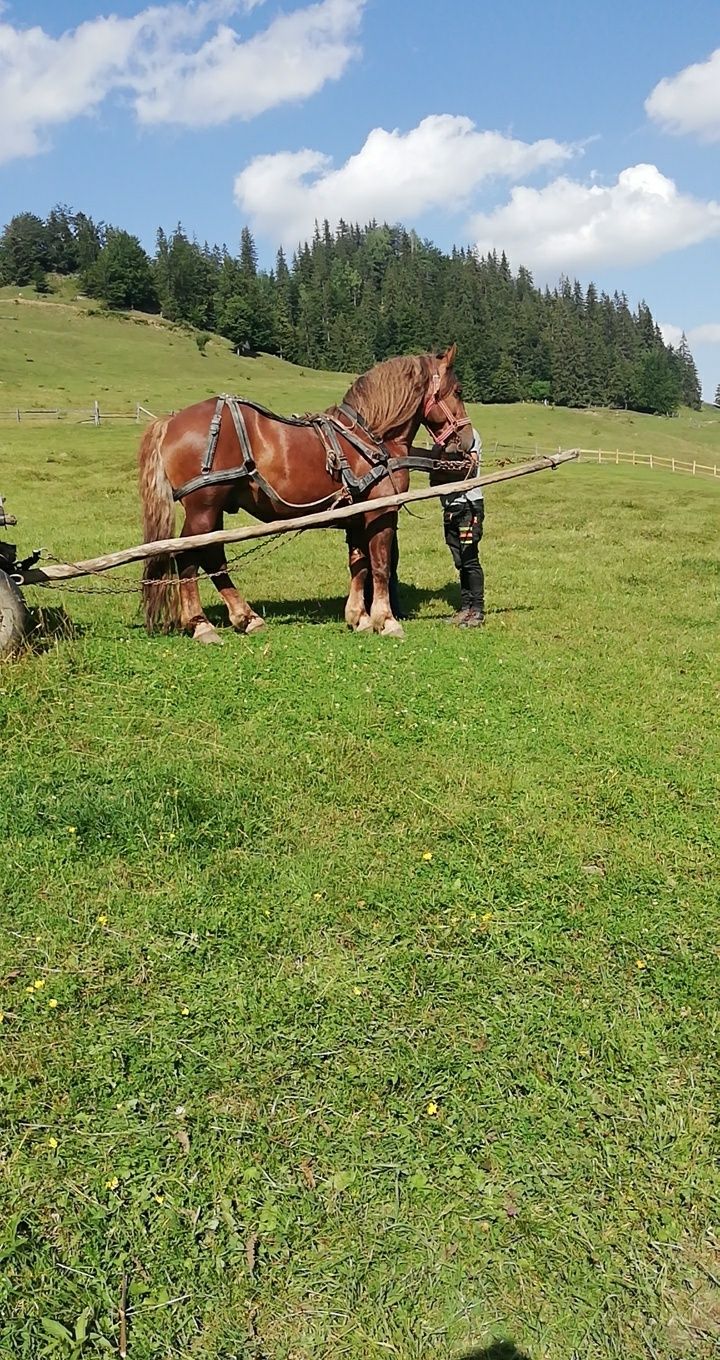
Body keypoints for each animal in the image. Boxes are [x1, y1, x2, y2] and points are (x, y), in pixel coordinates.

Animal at [137, 342, 470, 639]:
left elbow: (359, 565)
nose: (466, 440)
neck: (371, 437)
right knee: (187, 555)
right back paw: (200, 624)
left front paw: (358, 618)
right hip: (204, 507)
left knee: (212, 556)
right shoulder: (381, 511)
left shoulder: (357, 517)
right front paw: (386, 620)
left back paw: (246, 617)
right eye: (458, 391)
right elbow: (380, 566)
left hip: (213, 508)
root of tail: (170, 422)